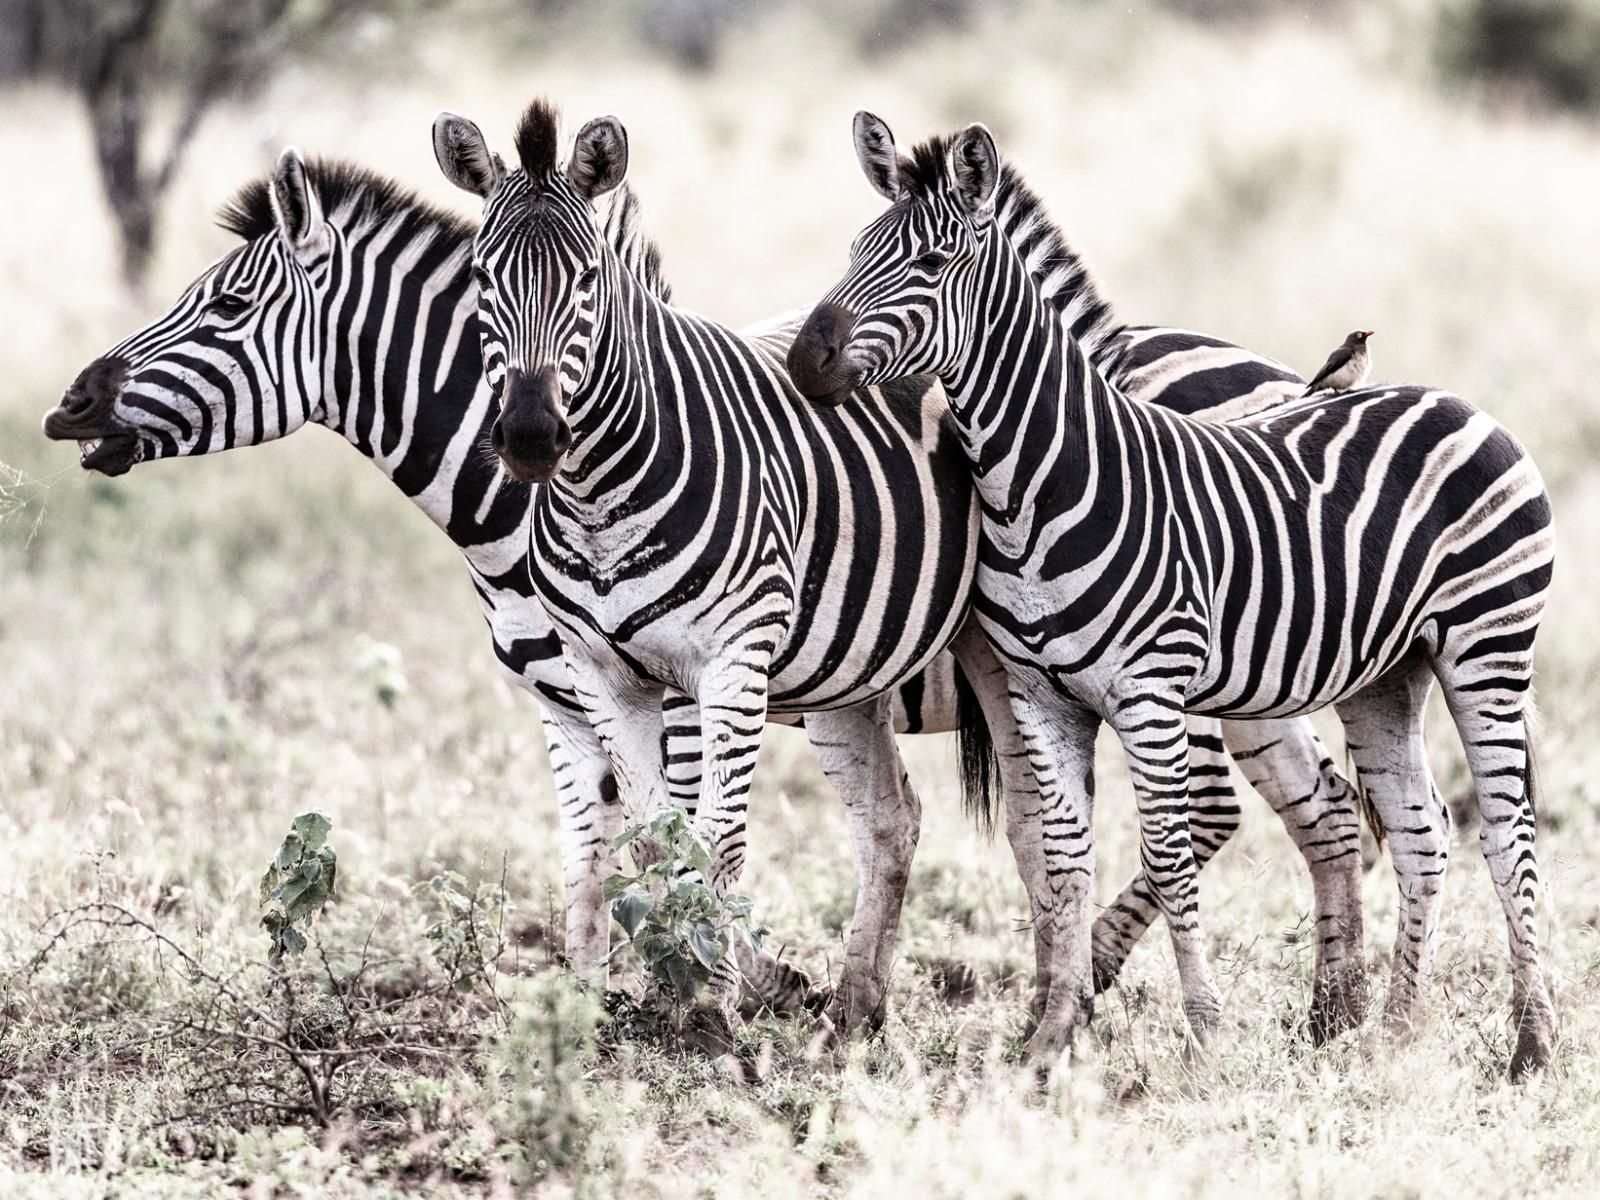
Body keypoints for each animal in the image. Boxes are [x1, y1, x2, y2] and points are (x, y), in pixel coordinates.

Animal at [793, 108, 1555, 1075]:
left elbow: (1166, 849)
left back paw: (1531, 1041)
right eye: (857, 249)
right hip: (1385, 673)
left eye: (928, 264)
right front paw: (1052, 1034)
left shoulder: (1149, 691)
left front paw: (1204, 1037)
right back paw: (1390, 1030)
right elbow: (1064, 853)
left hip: (1487, 646)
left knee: (1505, 830)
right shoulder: (1042, 694)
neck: (1036, 481)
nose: (804, 361)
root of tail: (1457, 400)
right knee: (1421, 830)